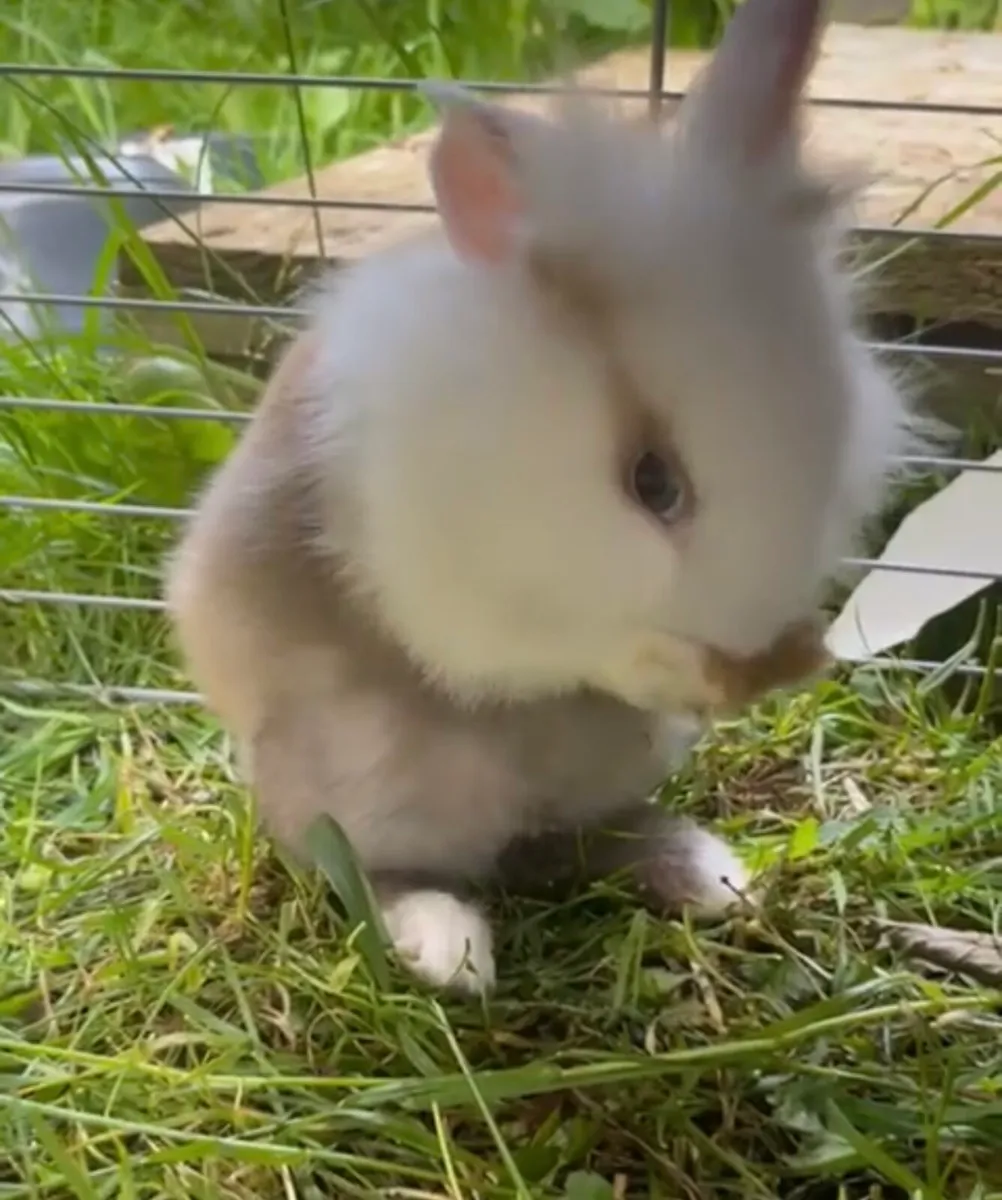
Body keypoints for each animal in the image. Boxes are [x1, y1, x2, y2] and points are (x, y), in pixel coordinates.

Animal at [165, 0, 926, 996]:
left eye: (833, 425)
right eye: (652, 480)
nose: (761, 668)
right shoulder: (445, 588)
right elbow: (565, 646)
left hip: (613, 768)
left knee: (584, 835)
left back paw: (711, 878)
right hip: (363, 786)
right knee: (371, 868)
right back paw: (449, 950)